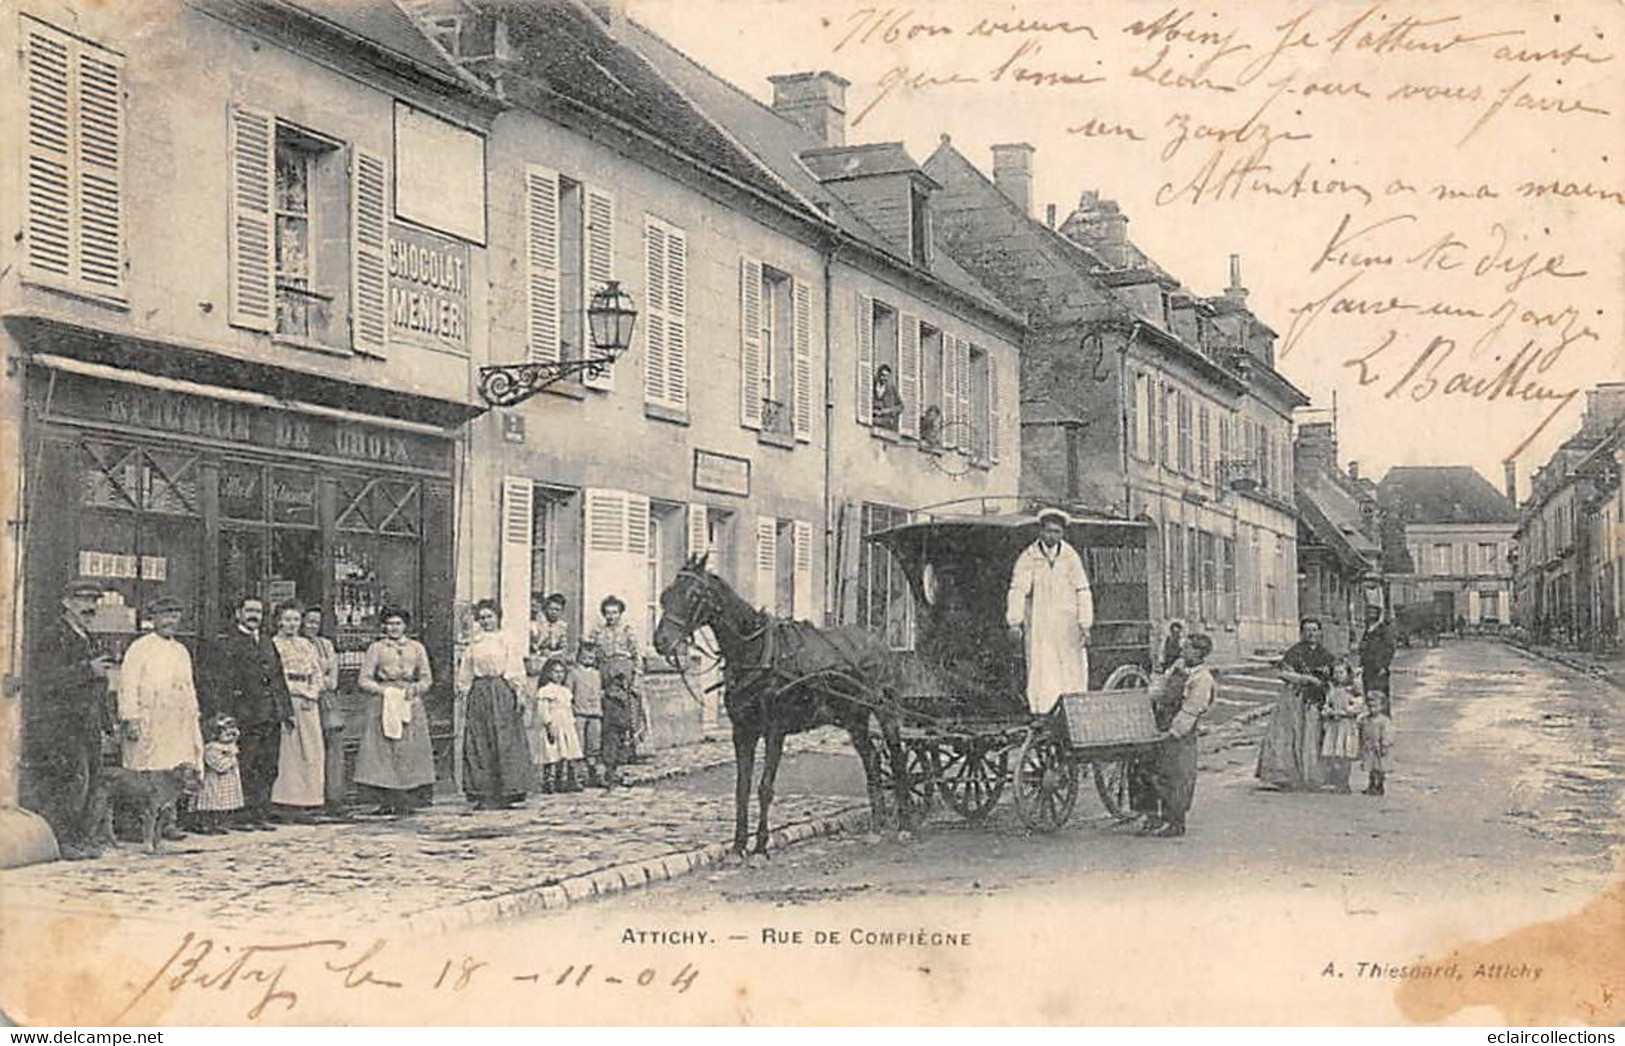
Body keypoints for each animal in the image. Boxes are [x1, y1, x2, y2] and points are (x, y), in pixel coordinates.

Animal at [650, 555, 916, 857]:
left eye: (693, 595)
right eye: (665, 595)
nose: (660, 642)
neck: (754, 652)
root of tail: (879, 643)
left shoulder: (774, 731)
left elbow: (765, 787)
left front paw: (760, 845)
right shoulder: (742, 731)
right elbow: (742, 789)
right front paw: (738, 845)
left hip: (886, 713)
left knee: (897, 760)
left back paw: (905, 824)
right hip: (854, 717)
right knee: (871, 759)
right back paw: (877, 825)